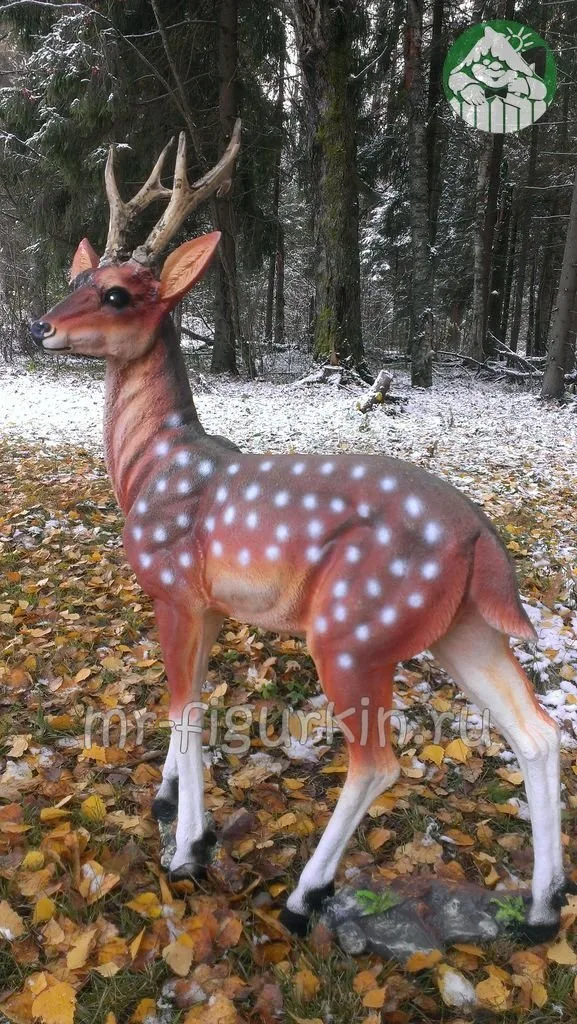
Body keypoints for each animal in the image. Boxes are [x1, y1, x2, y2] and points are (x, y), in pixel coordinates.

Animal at [30, 123, 571, 943]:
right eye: (78, 274)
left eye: (118, 293)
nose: (39, 325)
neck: (153, 469)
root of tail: (484, 541)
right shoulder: (211, 604)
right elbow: (194, 700)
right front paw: (167, 800)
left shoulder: (174, 588)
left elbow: (186, 708)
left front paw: (188, 849)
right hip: (460, 627)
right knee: (536, 733)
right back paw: (540, 911)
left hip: (352, 629)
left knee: (379, 763)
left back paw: (302, 897)